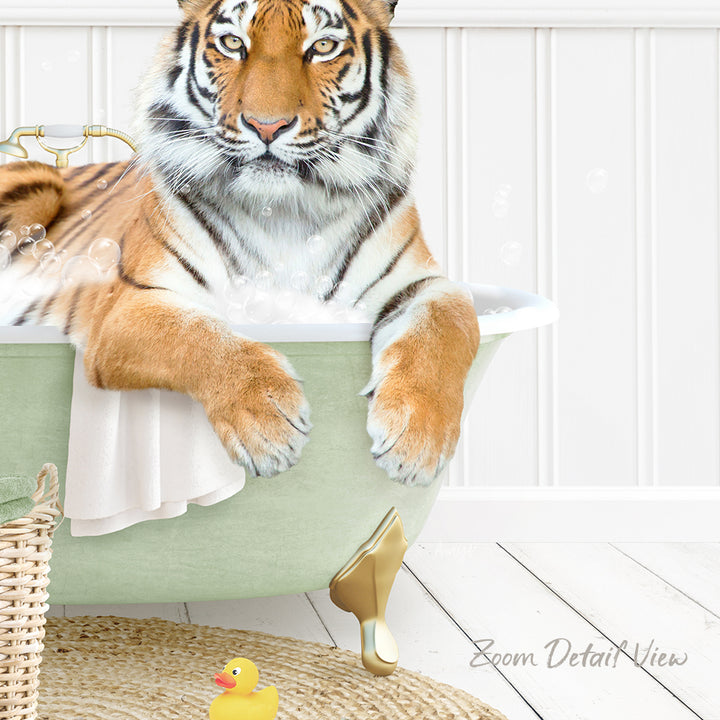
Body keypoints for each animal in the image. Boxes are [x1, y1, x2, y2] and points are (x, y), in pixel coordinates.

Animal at [0, 0, 479, 487]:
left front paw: (416, 440)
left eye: (323, 46)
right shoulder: (129, 305)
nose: (267, 126)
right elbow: (198, 335)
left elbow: (448, 325)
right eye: (233, 43)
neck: (285, 213)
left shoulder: (423, 283)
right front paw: (268, 426)